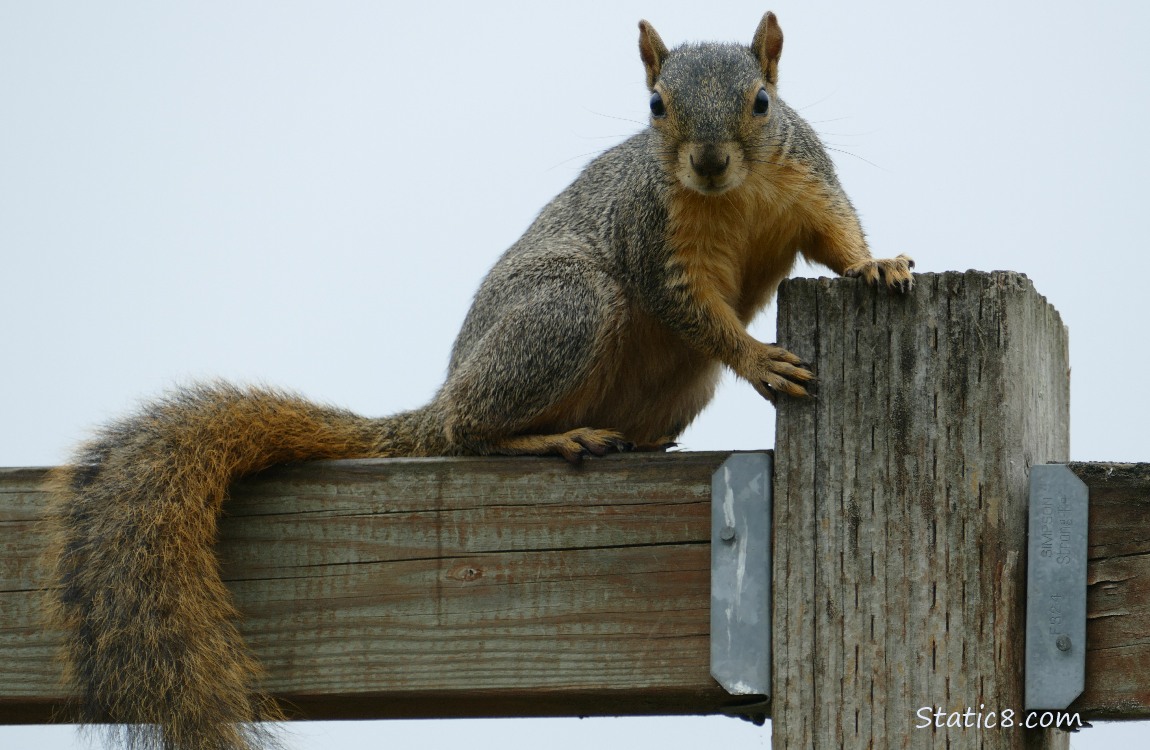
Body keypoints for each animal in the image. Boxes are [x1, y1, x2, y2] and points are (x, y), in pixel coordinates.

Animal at [43, 12, 913, 750]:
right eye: (656, 105)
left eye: (762, 101)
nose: (705, 162)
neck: (735, 194)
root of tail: (444, 395)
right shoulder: (654, 238)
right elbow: (694, 311)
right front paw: (760, 357)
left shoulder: (808, 186)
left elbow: (836, 238)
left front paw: (878, 265)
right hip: (567, 309)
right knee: (471, 431)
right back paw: (554, 436)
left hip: (669, 377)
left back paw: (642, 444)